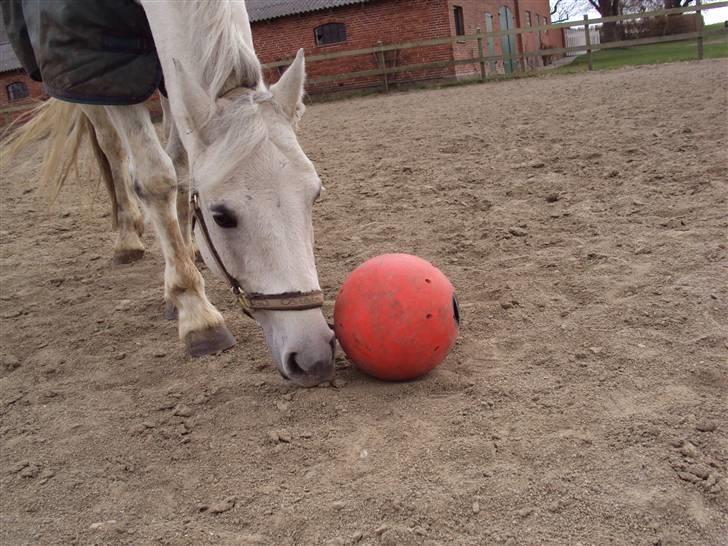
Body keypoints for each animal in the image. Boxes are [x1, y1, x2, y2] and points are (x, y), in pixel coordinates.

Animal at [4, 0, 336, 384]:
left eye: (315, 196)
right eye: (221, 216)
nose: (314, 357)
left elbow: (182, 168)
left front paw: (183, 271)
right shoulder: (107, 67)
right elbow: (155, 176)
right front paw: (195, 312)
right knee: (112, 146)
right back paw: (127, 239)